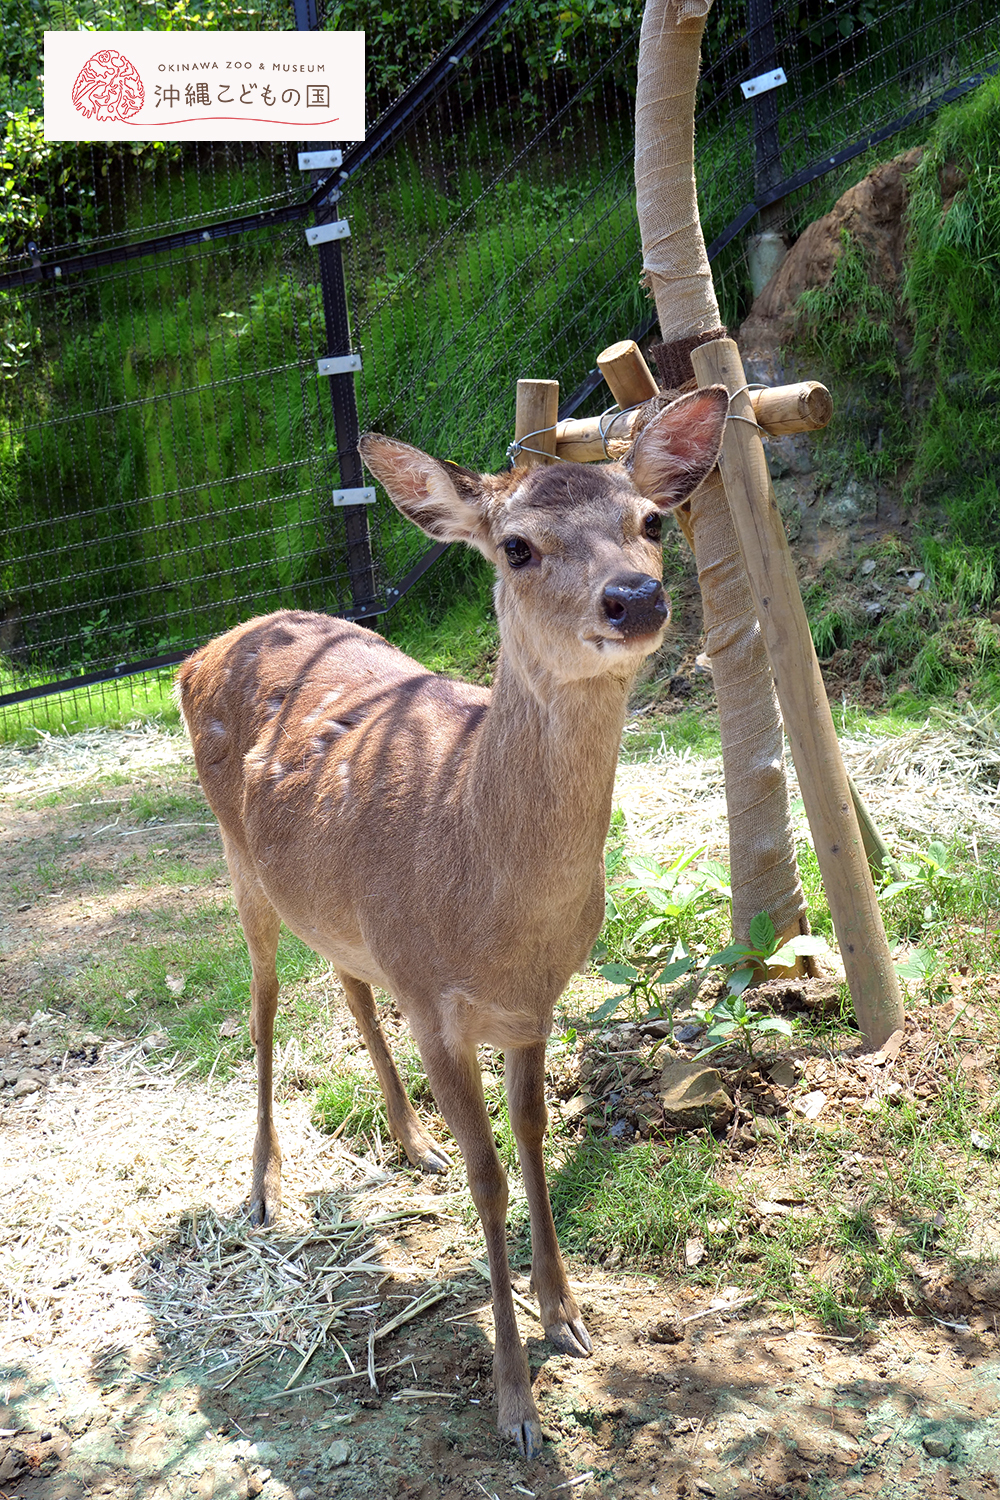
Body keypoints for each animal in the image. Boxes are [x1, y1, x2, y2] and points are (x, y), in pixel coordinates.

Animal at [176, 384, 728, 1452]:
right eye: (515, 546)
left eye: (650, 521)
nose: (634, 599)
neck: (488, 902)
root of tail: (204, 647)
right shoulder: (435, 1001)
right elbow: (490, 1177)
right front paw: (515, 1402)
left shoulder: (533, 1003)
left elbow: (535, 1142)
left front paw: (570, 1317)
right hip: (237, 860)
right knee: (264, 1003)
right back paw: (265, 1187)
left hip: (332, 901)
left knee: (346, 981)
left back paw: (407, 1141)